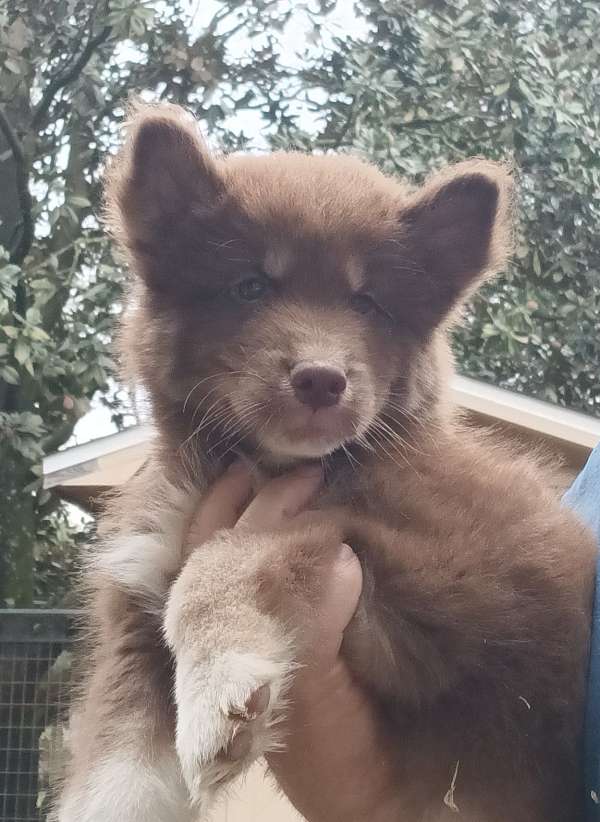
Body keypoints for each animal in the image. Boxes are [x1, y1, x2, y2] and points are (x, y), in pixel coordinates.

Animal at [57, 103, 596, 822]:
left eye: (366, 303)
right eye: (250, 287)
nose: (320, 379)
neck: (265, 463)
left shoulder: (471, 572)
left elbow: (234, 551)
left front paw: (220, 684)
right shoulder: (134, 612)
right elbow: (114, 780)